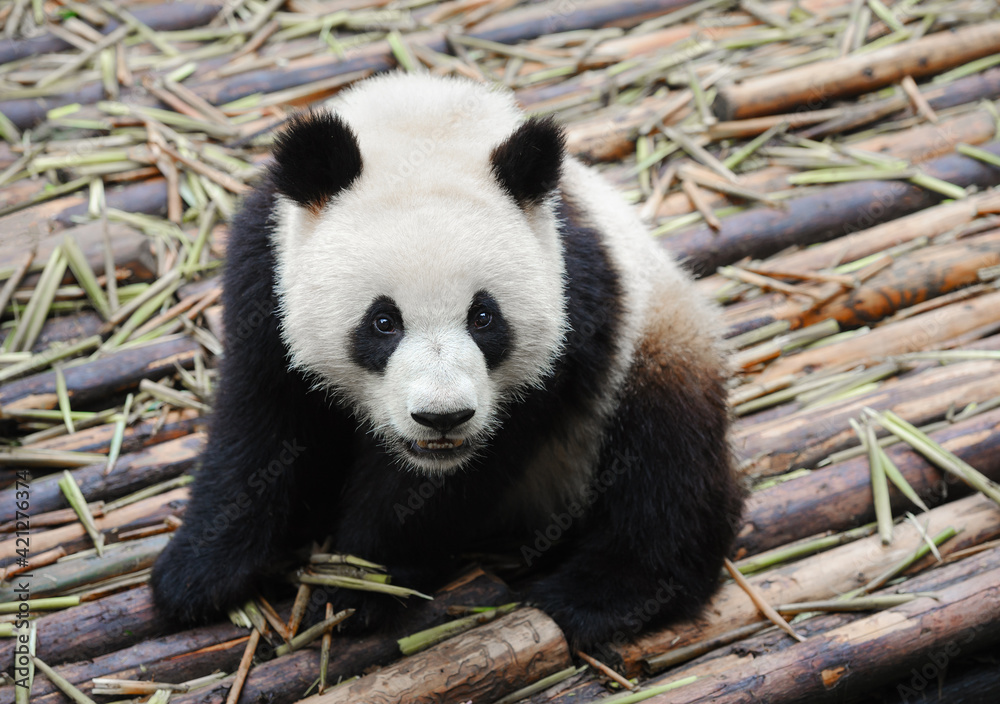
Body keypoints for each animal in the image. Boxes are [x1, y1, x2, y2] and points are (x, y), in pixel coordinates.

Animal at [150, 73, 745, 650]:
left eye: (483, 317)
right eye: (382, 322)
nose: (442, 418)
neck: (427, 127)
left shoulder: (578, 299)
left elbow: (452, 482)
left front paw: (358, 585)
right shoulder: (264, 272)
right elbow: (261, 426)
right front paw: (195, 576)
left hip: (652, 345)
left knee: (664, 474)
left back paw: (596, 597)